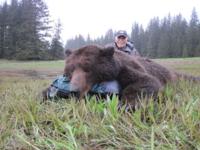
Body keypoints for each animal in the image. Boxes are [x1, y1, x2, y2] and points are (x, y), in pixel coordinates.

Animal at [64, 44, 200, 106]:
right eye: (71, 70)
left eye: (88, 69)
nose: (74, 90)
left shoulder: (126, 68)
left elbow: (147, 82)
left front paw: (126, 105)